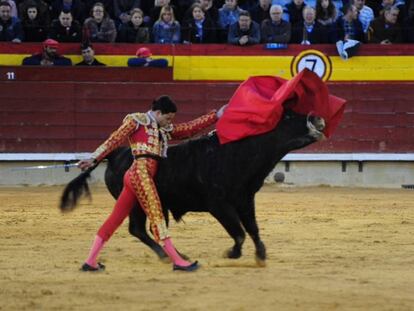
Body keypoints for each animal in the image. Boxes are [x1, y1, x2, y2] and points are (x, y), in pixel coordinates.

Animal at [60, 109, 326, 266]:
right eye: (289, 117)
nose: (317, 117)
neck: (238, 153)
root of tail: (116, 154)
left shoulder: (245, 199)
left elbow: (253, 228)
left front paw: (261, 255)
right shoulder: (219, 204)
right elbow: (239, 232)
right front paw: (232, 253)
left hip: (152, 203)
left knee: (145, 228)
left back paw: (172, 255)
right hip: (136, 201)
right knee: (139, 228)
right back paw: (172, 256)